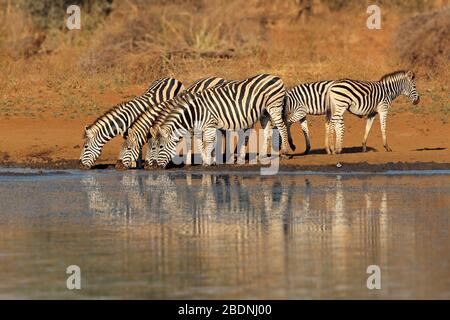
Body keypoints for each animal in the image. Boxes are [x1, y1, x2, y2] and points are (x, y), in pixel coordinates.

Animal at [155, 73, 288, 168]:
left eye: (160, 147)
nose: (155, 166)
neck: (195, 111)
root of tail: (276, 77)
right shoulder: (204, 126)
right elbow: (204, 142)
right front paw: (210, 160)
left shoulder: (209, 123)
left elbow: (208, 142)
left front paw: (207, 161)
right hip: (265, 113)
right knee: (267, 133)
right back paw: (262, 156)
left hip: (274, 106)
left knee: (282, 126)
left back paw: (285, 150)